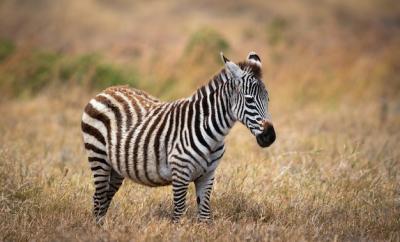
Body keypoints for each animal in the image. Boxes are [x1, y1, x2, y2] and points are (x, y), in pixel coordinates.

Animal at [80, 51, 276, 223]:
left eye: (268, 99)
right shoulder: (180, 172)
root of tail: (107, 90)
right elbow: (179, 213)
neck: (213, 133)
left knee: (105, 197)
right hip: (98, 157)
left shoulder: (208, 175)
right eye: (249, 100)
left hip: (116, 168)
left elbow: (205, 215)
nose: (270, 137)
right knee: (98, 198)